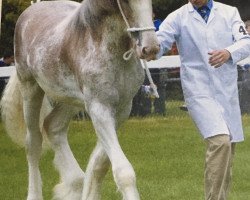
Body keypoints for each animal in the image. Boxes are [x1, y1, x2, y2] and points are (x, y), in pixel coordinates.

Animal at [0, 0, 159, 199]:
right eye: (125, 3)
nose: (150, 48)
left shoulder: (122, 109)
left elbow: (99, 164)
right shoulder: (99, 107)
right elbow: (123, 172)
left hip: (69, 99)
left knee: (53, 126)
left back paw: (74, 185)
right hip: (30, 89)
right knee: (33, 143)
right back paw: (35, 194)